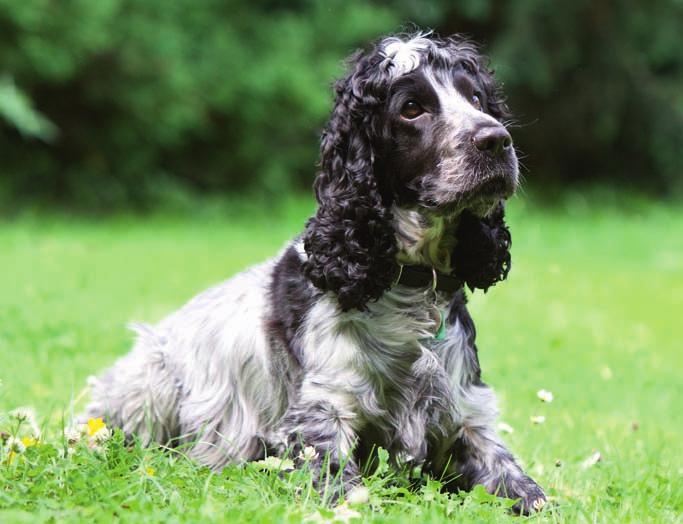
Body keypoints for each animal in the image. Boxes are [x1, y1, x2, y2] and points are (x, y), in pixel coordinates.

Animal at [84, 33, 544, 516]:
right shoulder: (321, 415)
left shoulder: (466, 416)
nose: (496, 140)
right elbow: (343, 489)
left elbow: (527, 490)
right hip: (149, 382)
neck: (409, 286)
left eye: (476, 99)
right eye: (411, 108)